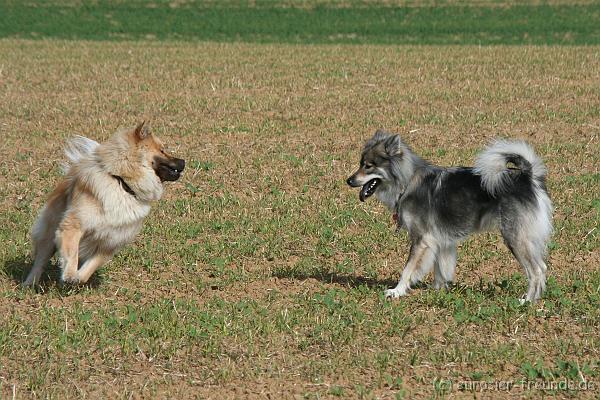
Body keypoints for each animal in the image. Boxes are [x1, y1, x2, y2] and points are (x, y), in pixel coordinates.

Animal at [24, 120, 185, 286]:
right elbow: (72, 254)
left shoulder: (110, 241)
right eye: (162, 150)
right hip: (50, 231)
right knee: (41, 260)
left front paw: (78, 277)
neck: (122, 183)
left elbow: (90, 266)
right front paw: (69, 274)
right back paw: (30, 284)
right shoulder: (73, 225)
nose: (183, 161)